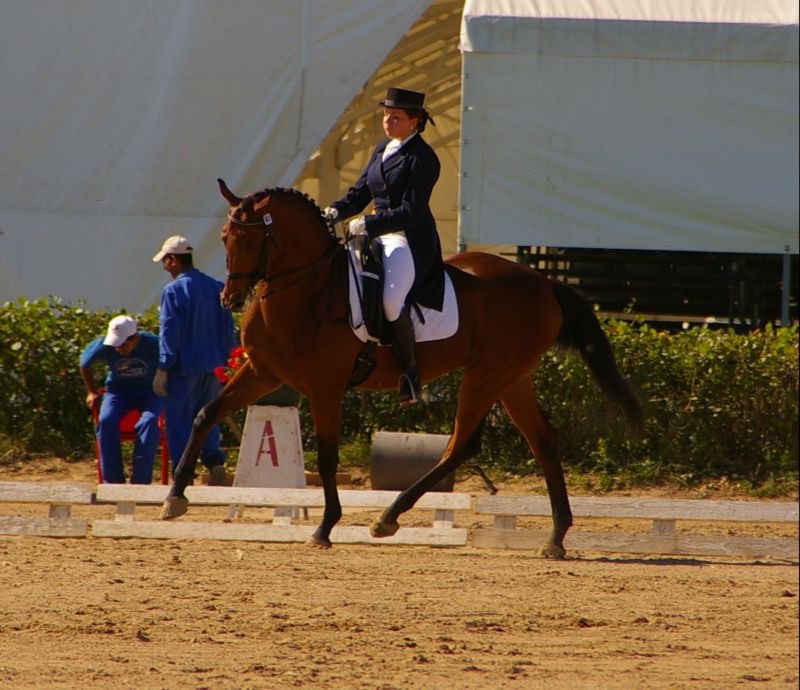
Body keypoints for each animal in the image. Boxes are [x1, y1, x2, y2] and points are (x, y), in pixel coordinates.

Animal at [159, 180, 640, 556]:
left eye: (251, 241)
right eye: (225, 236)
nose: (230, 299)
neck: (305, 289)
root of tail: (544, 282)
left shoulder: (325, 388)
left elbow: (329, 459)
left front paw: (325, 527)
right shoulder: (263, 373)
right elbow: (205, 414)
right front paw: (174, 498)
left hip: (487, 375)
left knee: (461, 444)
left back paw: (388, 517)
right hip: (512, 378)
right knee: (541, 441)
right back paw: (556, 536)